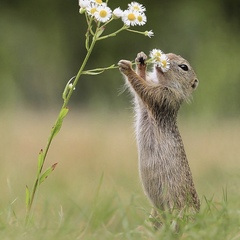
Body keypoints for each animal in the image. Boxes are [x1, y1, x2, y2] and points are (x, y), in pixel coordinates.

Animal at [118, 51, 201, 227]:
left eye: (184, 67)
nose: (165, 56)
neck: (164, 82)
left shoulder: (164, 96)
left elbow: (144, 89)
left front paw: (127, 68)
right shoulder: (147, 101)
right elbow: (141, 93)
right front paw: (141, 61)